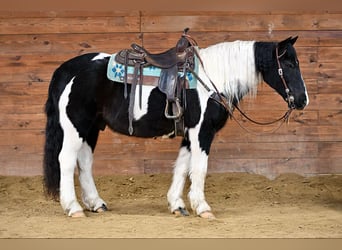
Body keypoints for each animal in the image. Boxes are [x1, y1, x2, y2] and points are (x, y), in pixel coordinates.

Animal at [43, 34, 310, 218]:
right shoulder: (202, 132)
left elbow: (182, 167)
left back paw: (96, 203)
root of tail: (68, 69)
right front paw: (202, 208)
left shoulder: (189, 134)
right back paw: (74, 207)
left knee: (84, 162)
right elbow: (199, 169)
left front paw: (177, 204)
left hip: (90, 129)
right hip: (75, 127)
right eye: (289, 65)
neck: (213, 78)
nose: (302, 100)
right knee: (66, 160)